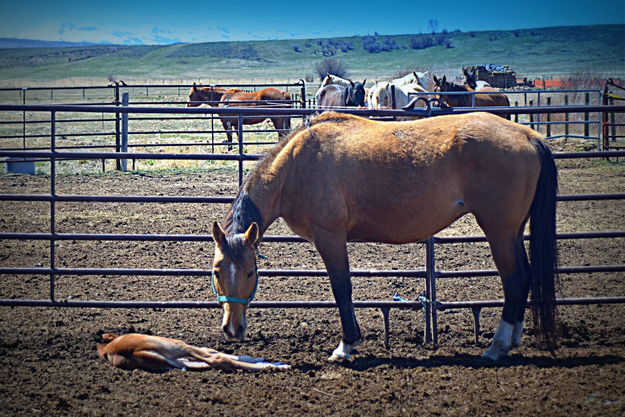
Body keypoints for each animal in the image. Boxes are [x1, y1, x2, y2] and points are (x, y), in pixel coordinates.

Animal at [208, 110, 556, 360]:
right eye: (216, 271)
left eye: (251, 272)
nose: (233, 328)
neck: (296, 166)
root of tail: (528, 135)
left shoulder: (330, 237)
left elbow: (342, 288)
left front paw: (346, 346)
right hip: (513, 230)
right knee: (524, 277)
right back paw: (512, 339)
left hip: (499, 230)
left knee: (514, 279)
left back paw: (497, 346)